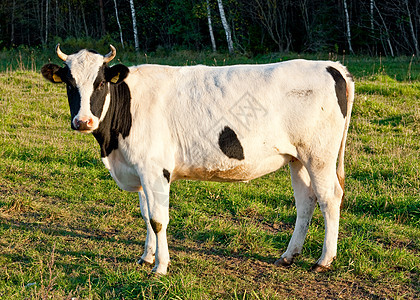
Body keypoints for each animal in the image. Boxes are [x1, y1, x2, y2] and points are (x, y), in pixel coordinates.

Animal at [41, 44, 354, 274]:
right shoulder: (139, 168)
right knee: (306, 201)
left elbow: (158, 219)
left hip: (319, 155)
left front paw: (160, 267)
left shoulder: (155, 169)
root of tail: (331, 66)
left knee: (329, 198)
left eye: (100, 82)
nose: (83, 121)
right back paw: (289, 255)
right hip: (297, 158)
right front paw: (146, 257)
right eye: (69, 84)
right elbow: (145, 215)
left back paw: (324, 260)